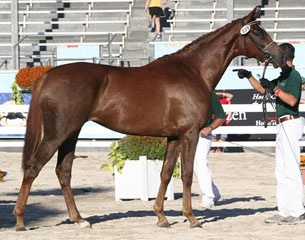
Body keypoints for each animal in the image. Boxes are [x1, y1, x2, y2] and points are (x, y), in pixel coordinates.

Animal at [13, 6, 284, 231]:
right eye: (257, 32)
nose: (280, 55)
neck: (192, 71)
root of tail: (47, 75)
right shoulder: (190, 134)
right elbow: (187, 174)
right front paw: (191, 218)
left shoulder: (174, 137)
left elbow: (165, 173)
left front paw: (161, 217)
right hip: (57, 134)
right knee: (33, 167)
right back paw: (20, 221)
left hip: (71, 133)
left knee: (64, 171)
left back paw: (80, 219)